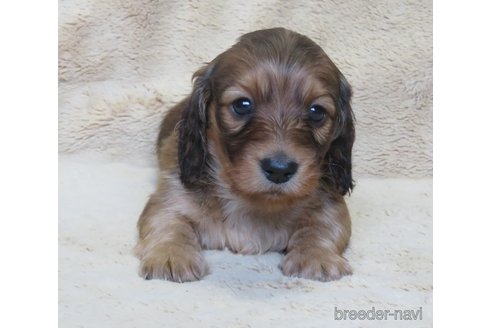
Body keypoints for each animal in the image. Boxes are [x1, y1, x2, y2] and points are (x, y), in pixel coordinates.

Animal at [136, 27, 356, 282]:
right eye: (242, 104)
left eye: (317, 112)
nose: (279, 170)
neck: (251, 201)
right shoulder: (171, 197)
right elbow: (168, 223)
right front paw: (171, 255)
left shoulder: (330, 203)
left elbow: (322, 227)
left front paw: (316, 255)